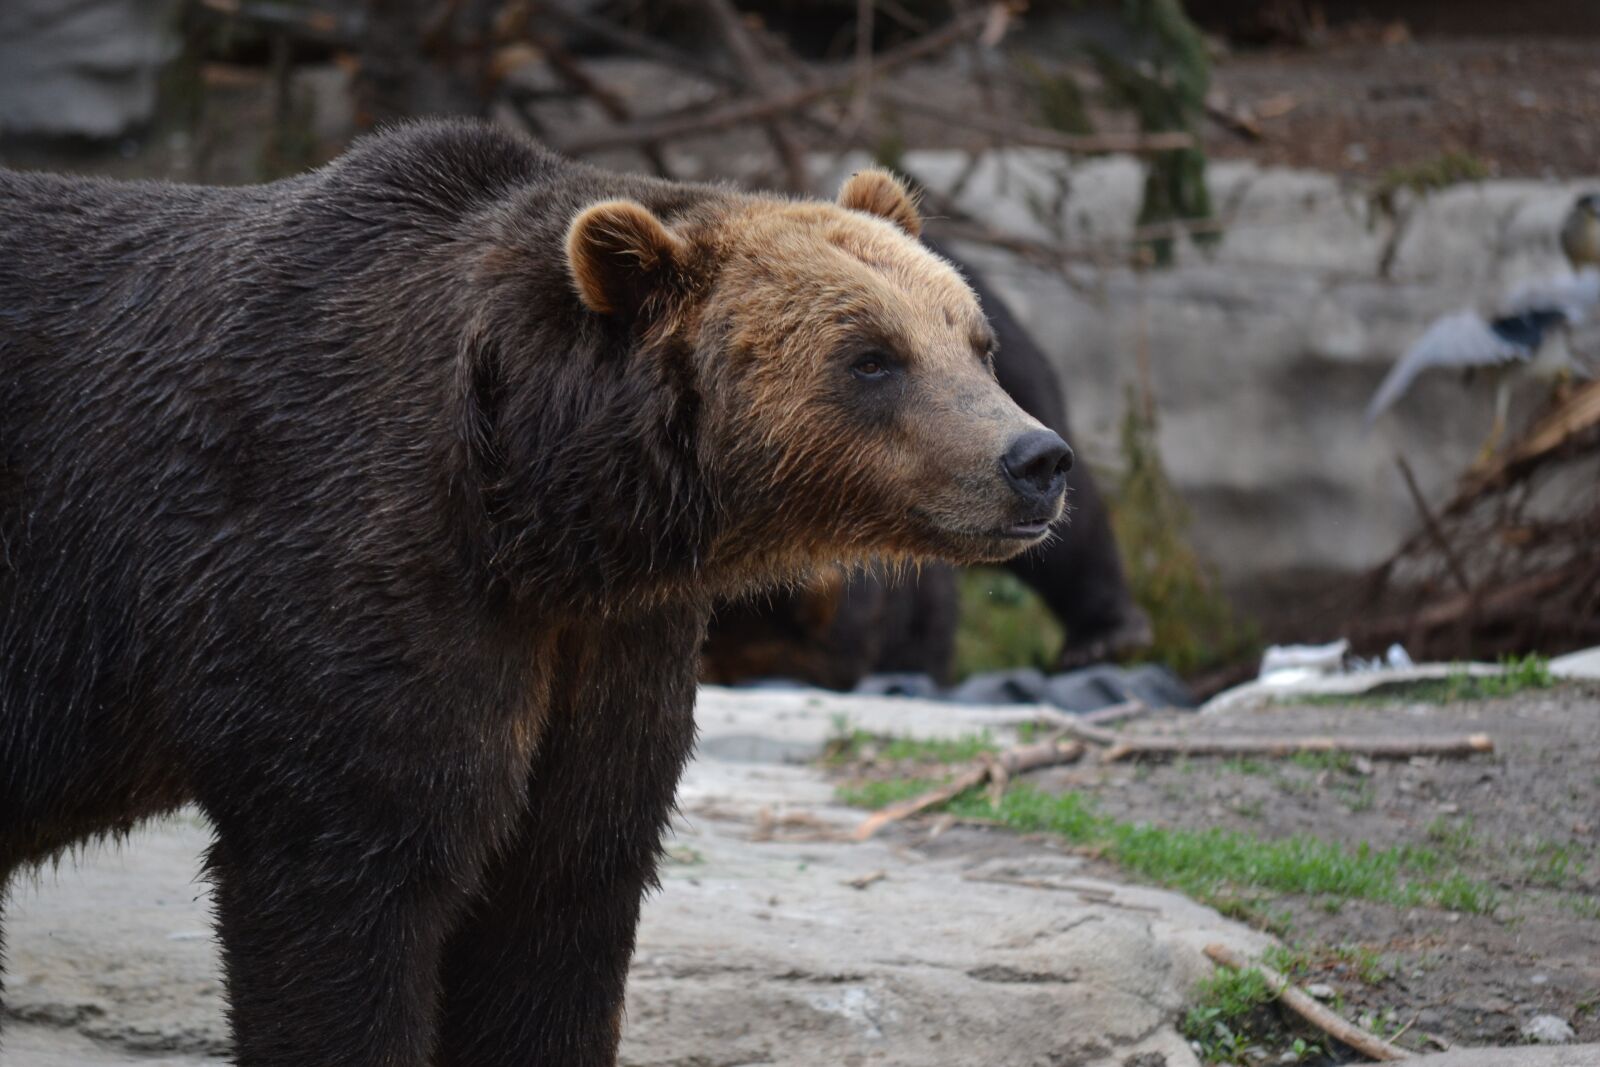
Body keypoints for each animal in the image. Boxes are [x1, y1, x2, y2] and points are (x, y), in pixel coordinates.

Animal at [0, 119, 1072, 1066]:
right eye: (871, 357)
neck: (536, 512)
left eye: (975, 341)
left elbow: (562, 897)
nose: (1037, 459)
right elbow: (350, 875)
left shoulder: (607, 645)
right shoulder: (344, 560)